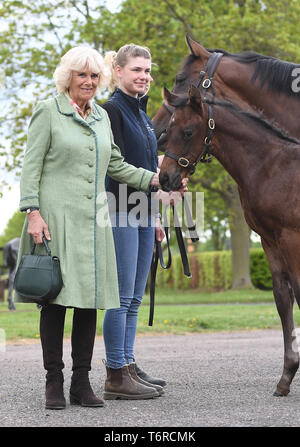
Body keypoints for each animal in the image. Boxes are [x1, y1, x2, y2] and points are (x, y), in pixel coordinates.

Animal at [159, 85, 300, 400]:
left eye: (187, 131)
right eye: (168, 130)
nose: (165, 178)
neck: (273, 166)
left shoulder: (291, 238)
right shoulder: (270, 240)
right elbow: (282, 299)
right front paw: (285, 378)